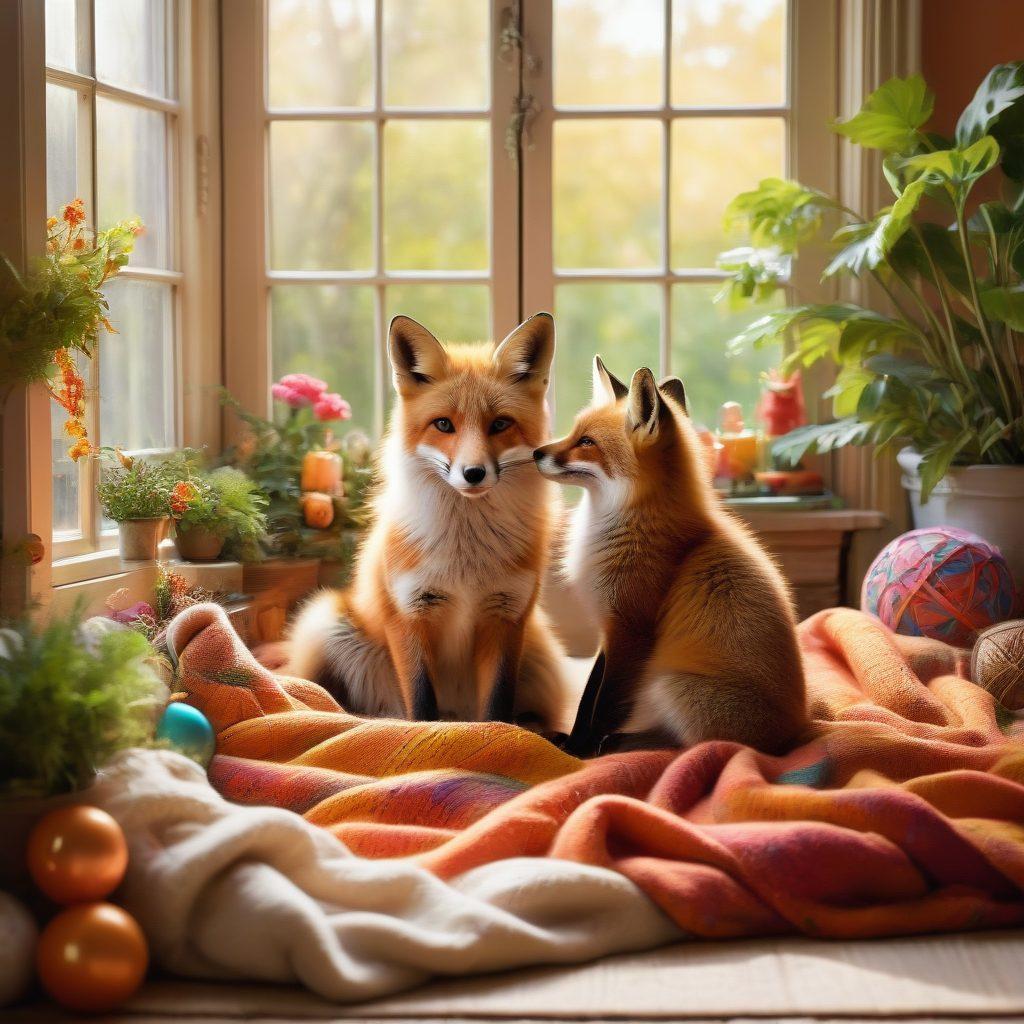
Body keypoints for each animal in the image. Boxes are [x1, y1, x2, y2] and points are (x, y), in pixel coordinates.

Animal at [282, 313, 569, 730]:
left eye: (500, 424)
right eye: (444, 425)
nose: (473, 474)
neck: (467, 557)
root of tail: (458, 712)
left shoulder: (507, 615)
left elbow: (497, 708)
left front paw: (498, 734)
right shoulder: (408, 614)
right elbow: (420, 702)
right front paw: (428, 735)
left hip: (542, 654)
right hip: (325, 623)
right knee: (332, 701)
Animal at [534, 356, 809, 757]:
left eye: (586, 442)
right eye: (574, 431)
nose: (536, 452)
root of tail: (798, 734)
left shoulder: (631, 631)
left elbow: (604, 705)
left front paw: (579, 752)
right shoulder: (609, 629)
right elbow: (587, 697)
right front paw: (573, 741)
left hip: (670, 685)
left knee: (688, 745)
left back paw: (618, 745)